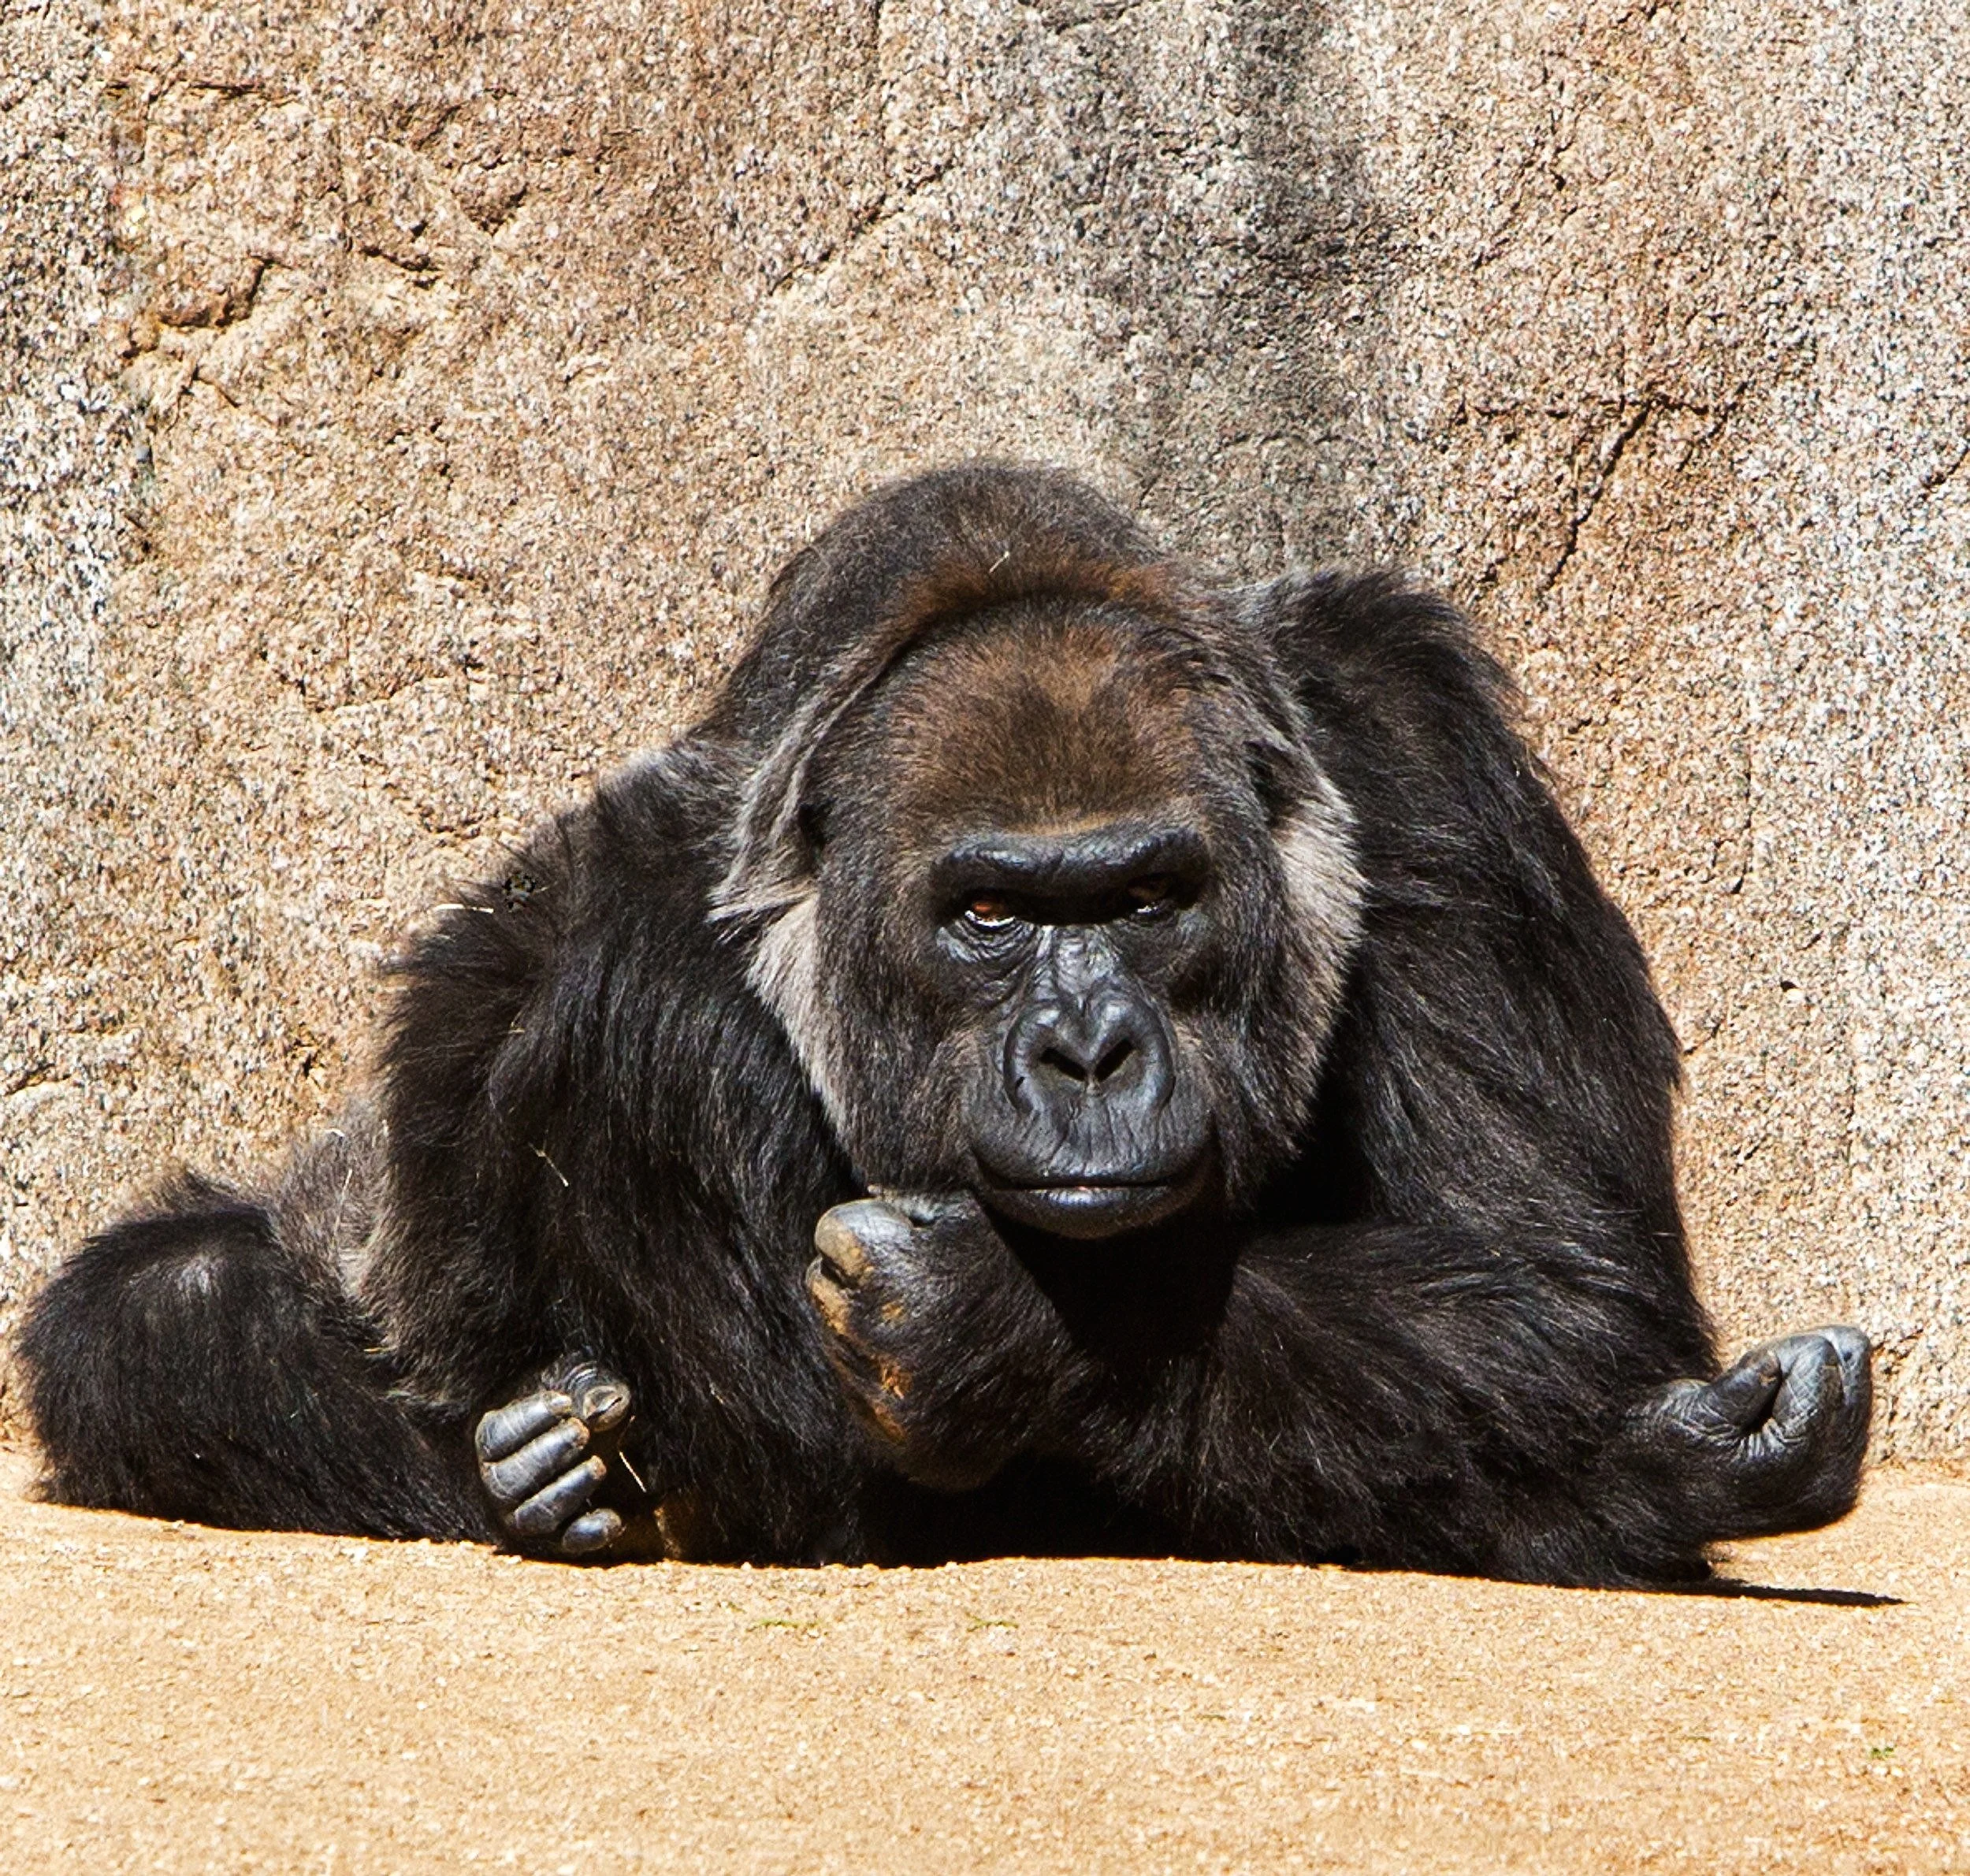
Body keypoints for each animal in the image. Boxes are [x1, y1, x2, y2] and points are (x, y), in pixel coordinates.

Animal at [19, 463, 1872, 1584]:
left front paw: (996, 1322)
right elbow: (844, 1481)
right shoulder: (632, 986)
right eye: (986, 913)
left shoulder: (1411, 748)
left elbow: (1561, 1276)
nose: (1088, 1056)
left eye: (1148, 898)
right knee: (167, 1309)